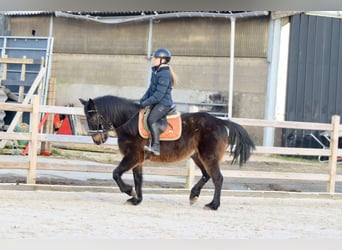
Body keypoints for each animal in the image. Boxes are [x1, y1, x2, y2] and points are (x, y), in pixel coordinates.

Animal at [79, 94, 254, 210]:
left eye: (92, 118)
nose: (97, 140)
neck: (130, 122)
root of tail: (219, 121)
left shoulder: (132, 156)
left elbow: (116, 173)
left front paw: (129, 191)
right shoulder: (137, 159)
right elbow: (138, 179)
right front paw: (136, 199)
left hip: (208, 157)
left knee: (217, 178)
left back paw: (213, 205)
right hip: (197, 156)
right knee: (206, 175)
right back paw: (193, 196)